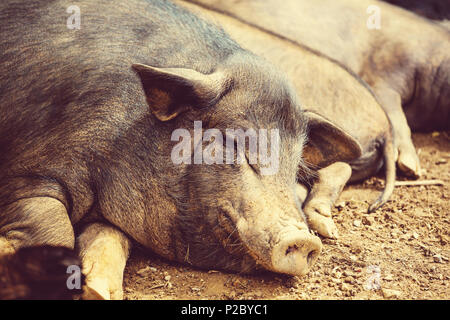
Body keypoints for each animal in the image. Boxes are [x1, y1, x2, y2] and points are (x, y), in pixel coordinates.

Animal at [0, 0, 362, 300]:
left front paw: (99, 292)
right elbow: (57, 231)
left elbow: (110, 236)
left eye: (294, 169)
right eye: (235, 142)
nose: (304, 240)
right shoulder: (28, 172)